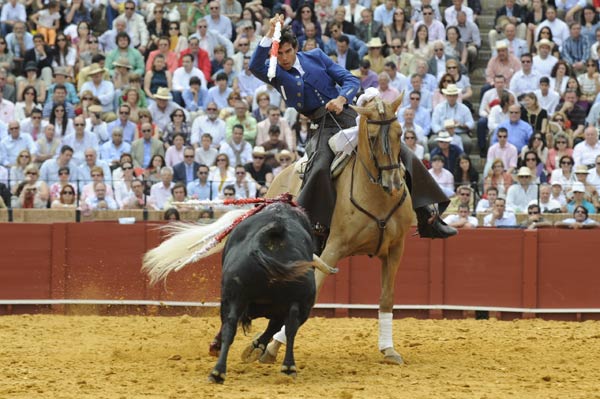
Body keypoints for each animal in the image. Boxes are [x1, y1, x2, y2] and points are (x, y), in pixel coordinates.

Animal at [209, 203, 316, 384]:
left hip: (233, 297)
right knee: (291, 327)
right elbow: (278, 326)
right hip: (301, 303)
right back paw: (288, 367)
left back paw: (218, 371)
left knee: (230, 326)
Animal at [264, 94, 414, 366]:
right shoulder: (332, 249)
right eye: (372, 137)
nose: (394, 184)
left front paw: (389, 350)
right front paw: (271, 348)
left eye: (400, 132)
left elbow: (387, 297)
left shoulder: (396, 248)